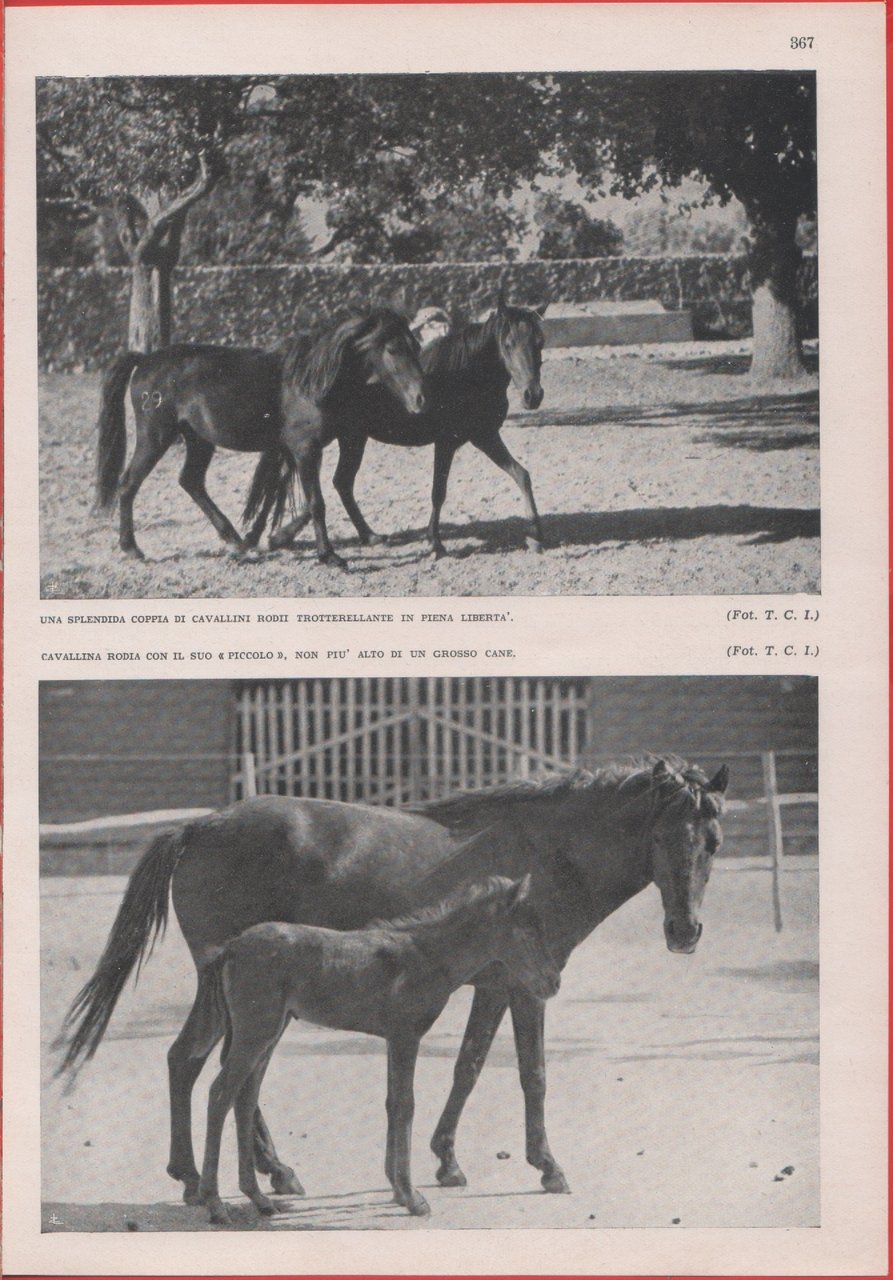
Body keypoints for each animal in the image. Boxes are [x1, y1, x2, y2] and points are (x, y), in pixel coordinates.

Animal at [92, 307, 426, 567]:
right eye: (393, 349)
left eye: (416, 346)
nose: (420, 399)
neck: (310, 381)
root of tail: (145, 360)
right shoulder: (306, 449)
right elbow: (316, 501)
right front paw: (329, 556)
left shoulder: (302, 449)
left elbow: (303, 494)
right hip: (156, 436)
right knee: (129, 484)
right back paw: (132, 548)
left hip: (199, 439)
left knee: (191, 481)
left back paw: (234, 540)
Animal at [194, 875, 560, 1224]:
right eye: (528, 930)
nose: (553, 983)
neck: (426, 957)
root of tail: (231, 947)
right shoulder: (405, 1036)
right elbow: (405, 1106)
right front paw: (412, 1198)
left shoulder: (392, 1039)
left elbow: (392, 1103)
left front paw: (398, 1191)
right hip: (256, 1032)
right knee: (221, 1093)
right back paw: (215, 1204)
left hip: (270, 1032)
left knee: (245, 1098)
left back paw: (258, 1198)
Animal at [253, 296, 548, 560]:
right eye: (508, 344)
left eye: (539, 343)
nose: (533, 395)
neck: (464, 376)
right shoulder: (447, 442)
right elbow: (438, 492)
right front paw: (435, 543)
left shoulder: (485, 436)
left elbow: (522, 475)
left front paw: (535, 536)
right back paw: (273, 538)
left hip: (352, 439)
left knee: (340, 483)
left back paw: (364, 535)